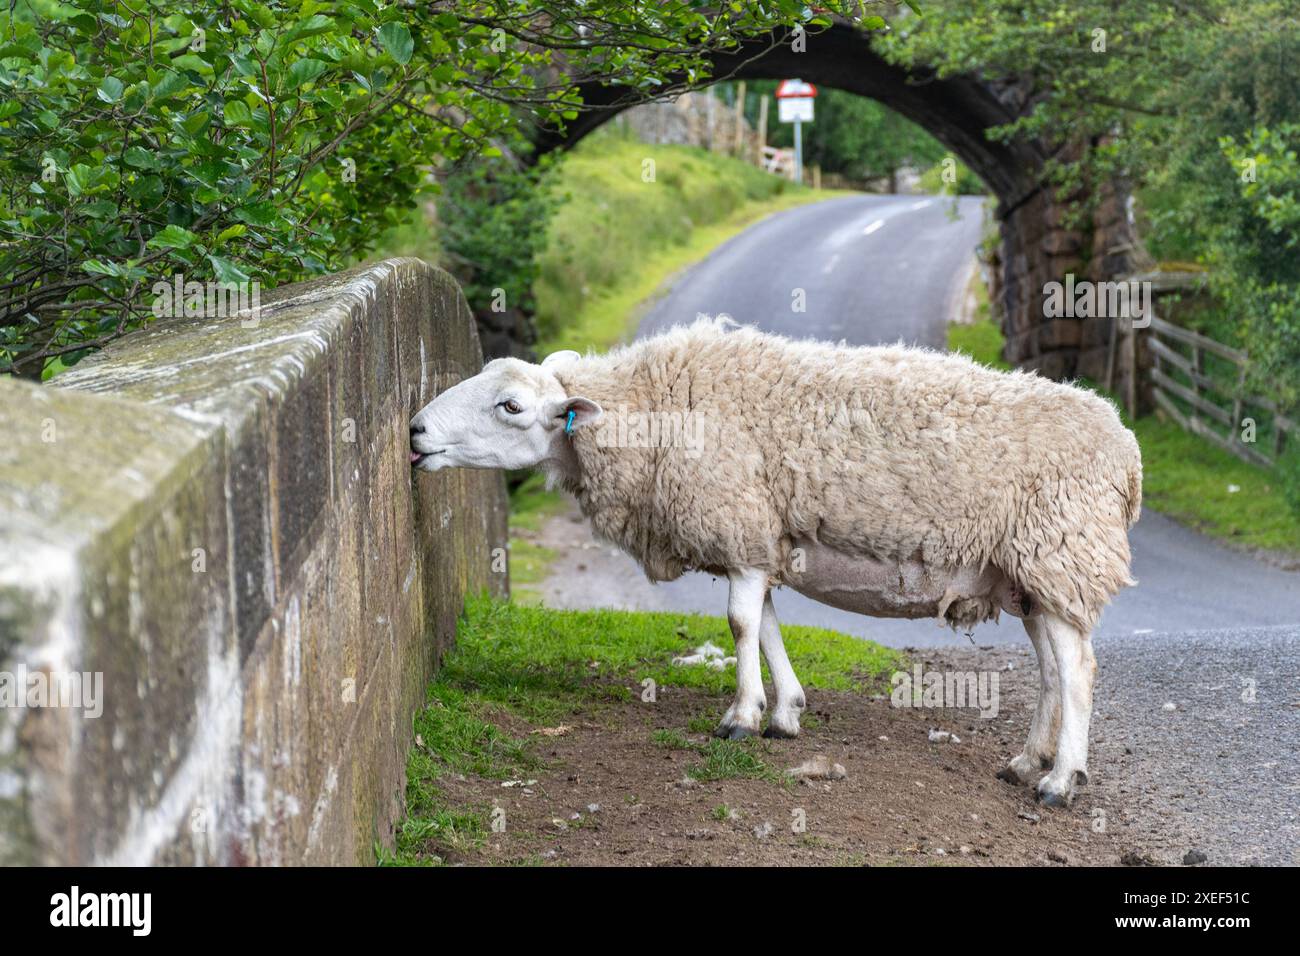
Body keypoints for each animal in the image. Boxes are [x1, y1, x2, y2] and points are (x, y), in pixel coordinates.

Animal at [410, 319, 1144, 806]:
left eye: (510, 407)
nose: (414, 431)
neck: (645, 414)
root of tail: (1126, 451)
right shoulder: (756, 538)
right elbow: (763, 622)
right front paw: (785, 713)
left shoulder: (736, 523)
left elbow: (740, 623)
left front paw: (740, 718)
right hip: (1033, 575)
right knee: (1053, 669)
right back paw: (1026, 763)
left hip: (1064, 550)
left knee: (1077, 670)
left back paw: (1058, 783)